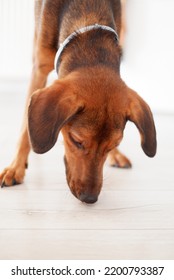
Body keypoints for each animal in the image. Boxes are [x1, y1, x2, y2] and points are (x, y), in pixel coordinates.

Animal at [0, 0, 156, 203]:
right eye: (76, 141)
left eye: (113, 145)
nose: (89, 198)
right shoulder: (39, 69)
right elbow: (25, 132)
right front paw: (15, 168)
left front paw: (115, 154)